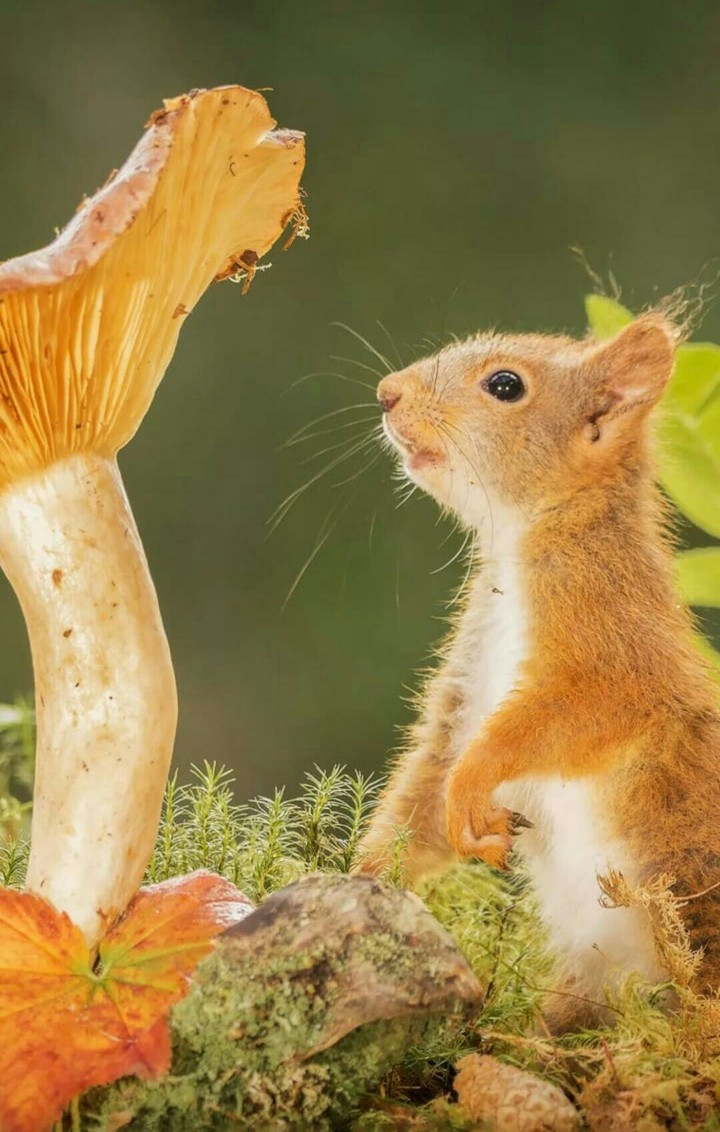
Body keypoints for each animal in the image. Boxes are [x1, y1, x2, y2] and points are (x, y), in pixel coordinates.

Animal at [354, 313, 720, 1029]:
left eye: (505, 385)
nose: (387, 393)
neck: (527, 535)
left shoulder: (616, 644)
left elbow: (567, 719)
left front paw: (475, 782)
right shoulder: (468, 685)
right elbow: (423, 792)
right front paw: (355, 882)